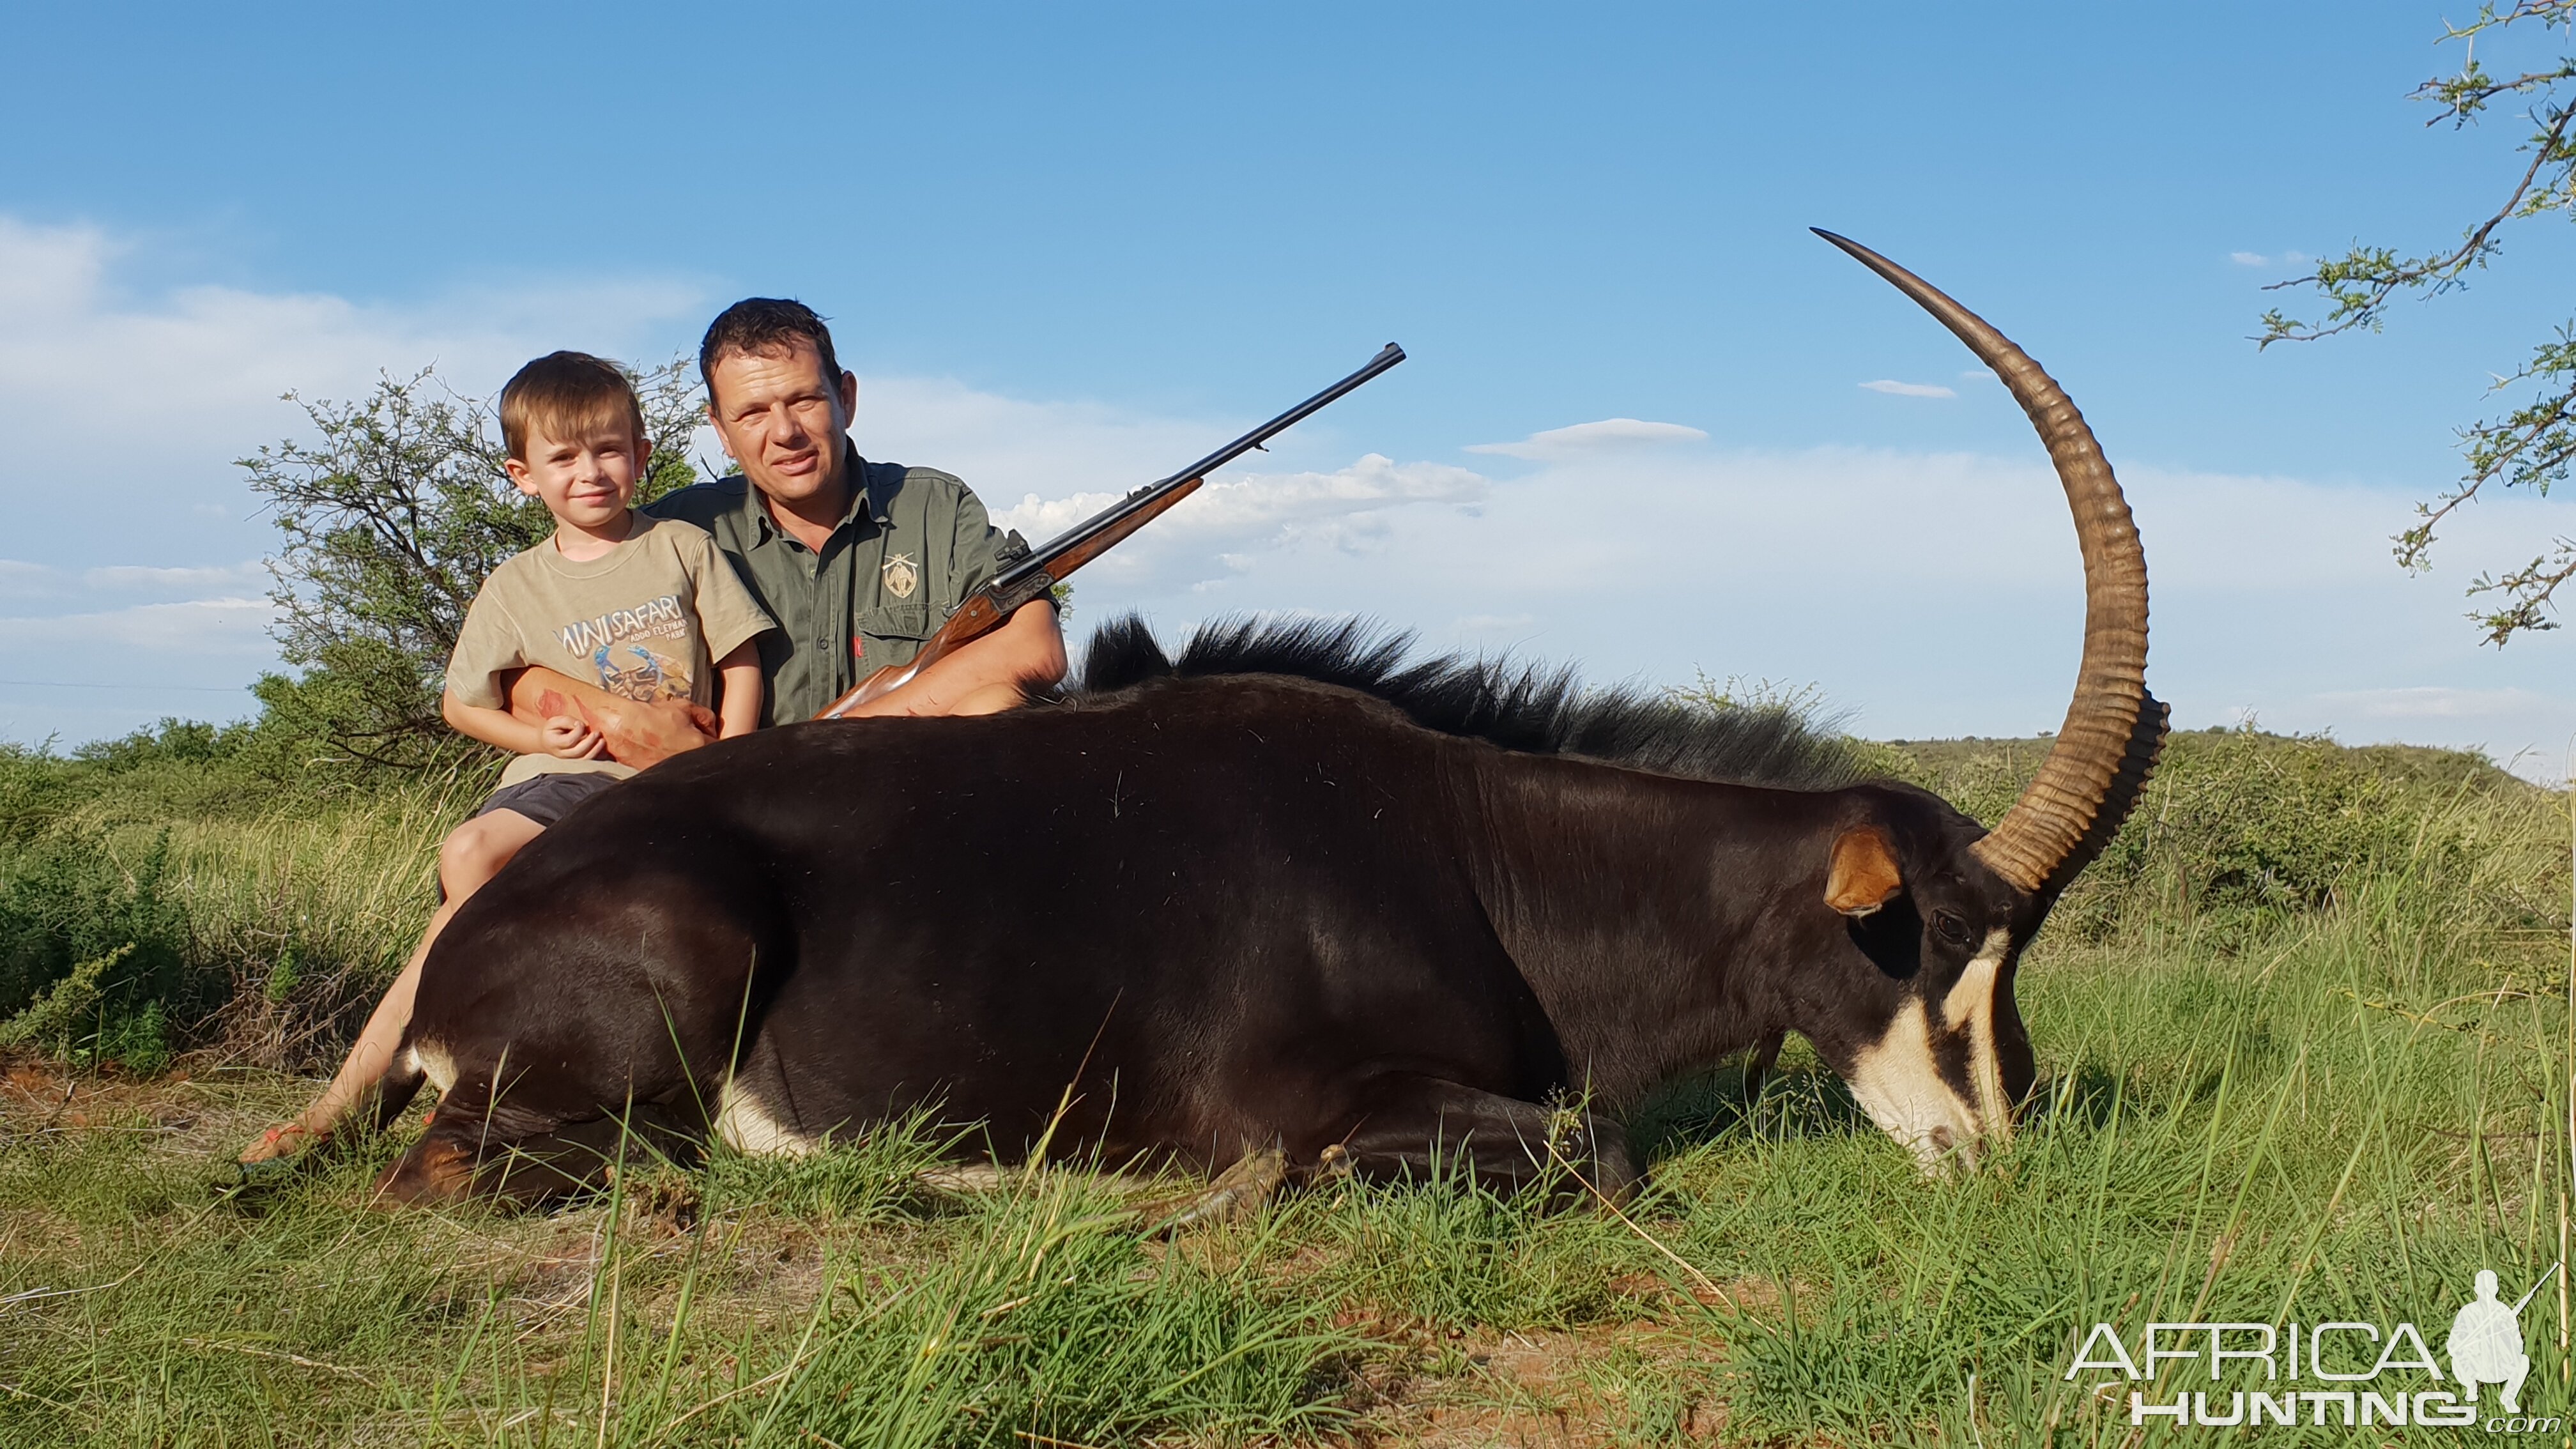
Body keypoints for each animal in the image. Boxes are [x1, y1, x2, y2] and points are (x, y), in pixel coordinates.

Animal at [373, 237, 2163, 1201]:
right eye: (1933, 949)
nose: (2000, 1159)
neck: (1473, 849)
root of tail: (452, 950)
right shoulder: (1334, 1101)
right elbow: (1597, 1151)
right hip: (673, 987)